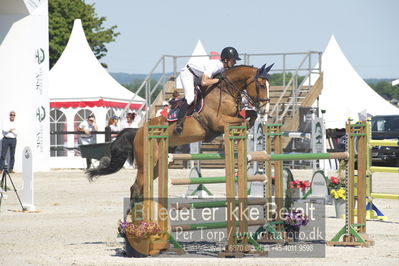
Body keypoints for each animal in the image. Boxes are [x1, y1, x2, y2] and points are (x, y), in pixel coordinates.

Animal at [86, 64, 276, 201]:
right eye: (261, 85)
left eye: (269, 85)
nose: (265, 108)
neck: (225, 91)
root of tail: (138, 131)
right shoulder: (218, 122)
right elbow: (241, 121)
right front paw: (247, 126)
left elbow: (248, 115)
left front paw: (254, 121)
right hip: (146, 162)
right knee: (136, 187)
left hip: (157, 164)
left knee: (139, 187)